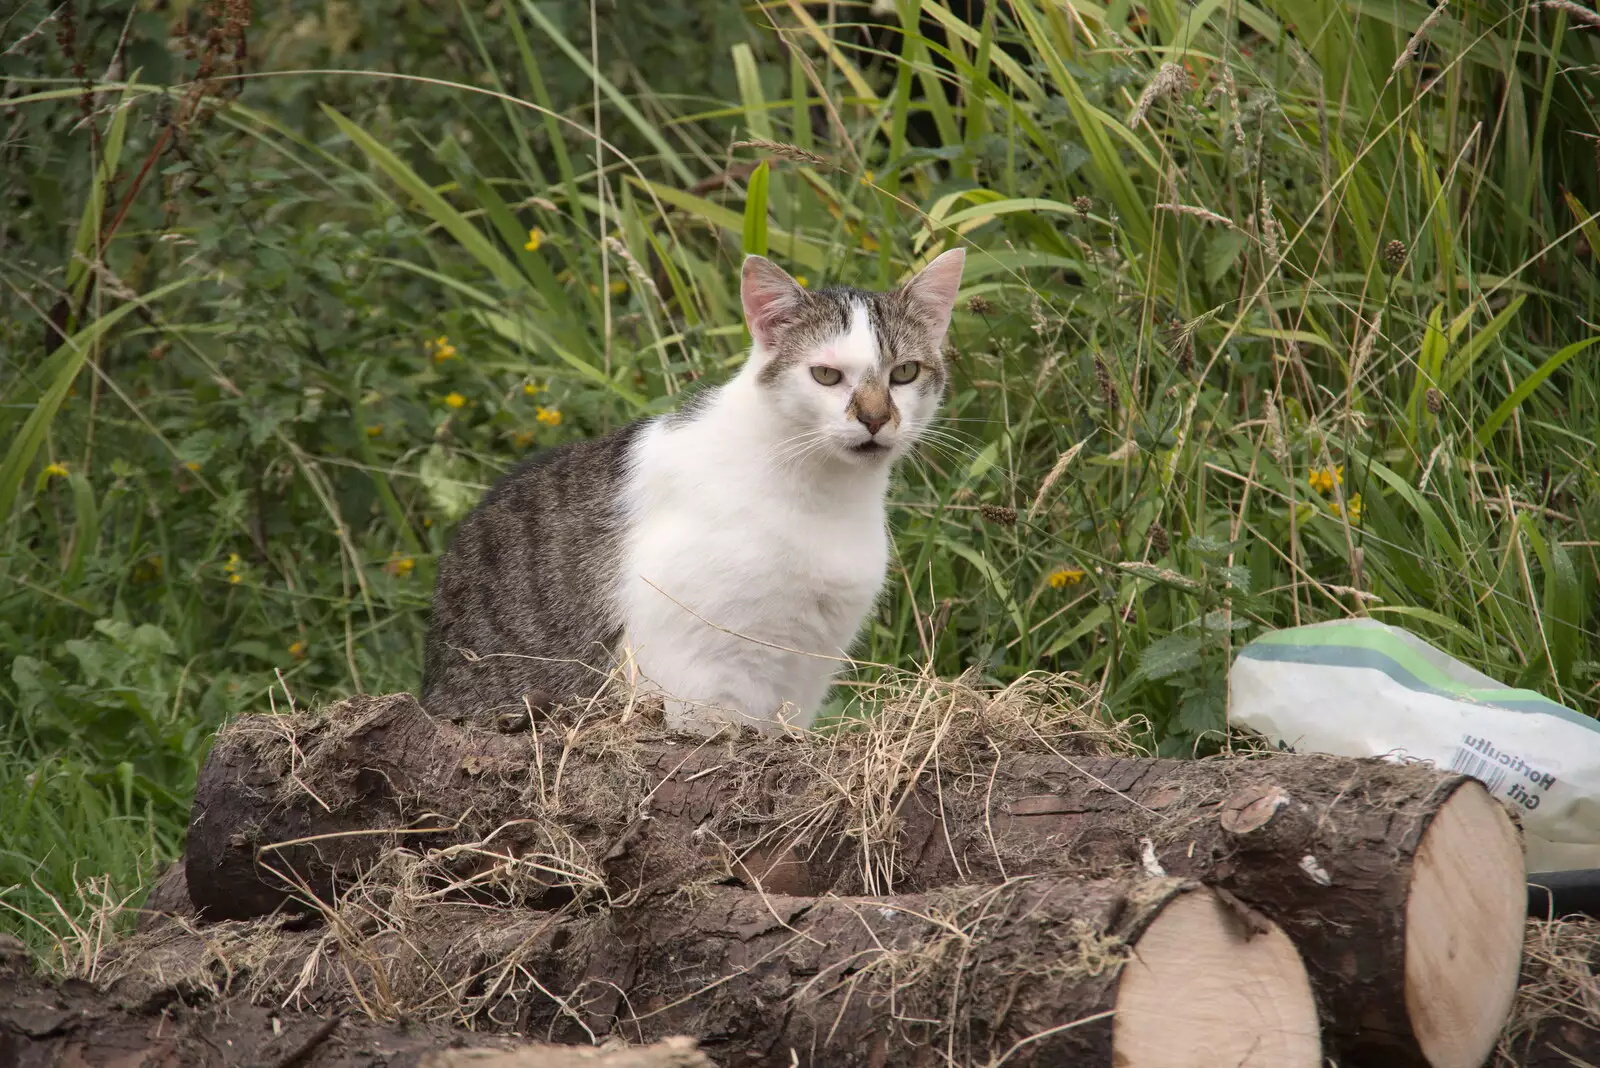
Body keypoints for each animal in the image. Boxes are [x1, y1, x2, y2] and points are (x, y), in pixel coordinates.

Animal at [422, 249, 960, 735]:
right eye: (826, 375)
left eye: (904, 373)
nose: (875, 418)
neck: (828, 496)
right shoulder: (694, 671)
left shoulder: (806, 669)